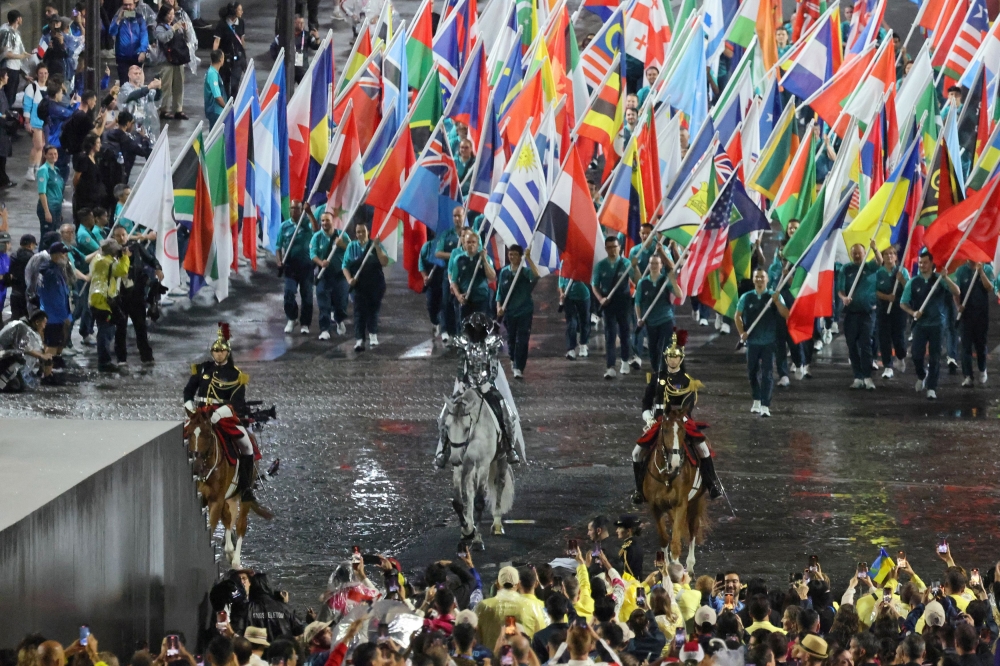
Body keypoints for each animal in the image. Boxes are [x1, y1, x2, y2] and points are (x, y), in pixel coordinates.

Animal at [185, 408, 272, 564]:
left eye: (208, 434)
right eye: (188, 433)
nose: (196, 468)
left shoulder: (216, 501)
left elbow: (211, 527)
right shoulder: (205, 499)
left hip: (244, 494)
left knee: (241, 524)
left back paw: (236, 560)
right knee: (228, 518)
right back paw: (229, 550)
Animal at [440, 386, 516, 548]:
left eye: (466, 428)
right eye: (447, 426)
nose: (454, 459)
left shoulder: (483, 464)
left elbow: (480, 502)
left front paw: (477, 540)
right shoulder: (461, 466)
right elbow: (458, 502)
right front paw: (467, 530)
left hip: (502, 458)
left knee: (499, 484)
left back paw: (497, 524)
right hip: (470, 467)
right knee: (470, 490)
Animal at [644, 404, 708, 572]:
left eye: (683, 431)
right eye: (665, 430)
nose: (675, 463)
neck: (666, 475)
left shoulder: (681, 505)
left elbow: (676, 541)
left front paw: (677, 567)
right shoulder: (655, 507)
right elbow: (665, 538)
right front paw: (665, 567)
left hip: (696, 502)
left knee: (692, 529)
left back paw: (690, 566)